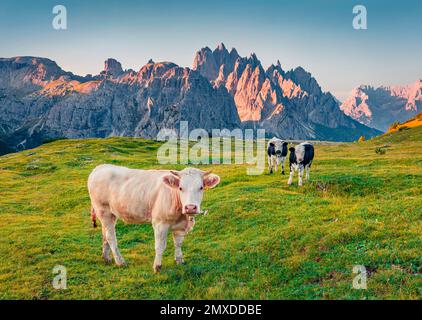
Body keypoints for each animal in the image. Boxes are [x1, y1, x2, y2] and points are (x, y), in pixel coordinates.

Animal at [88, 165, 221, 272]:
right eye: (180, 188)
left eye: (201, 187)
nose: (190, 207)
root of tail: (100, 167)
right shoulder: (160, 223)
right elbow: (160, 246)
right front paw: (157, 266)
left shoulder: (181, 227)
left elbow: (178, 243)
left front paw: (179, 261)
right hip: (103, 210)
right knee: (110, 237)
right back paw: (120, 261)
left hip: (110, 214)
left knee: (105, 234)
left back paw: (106, 258)